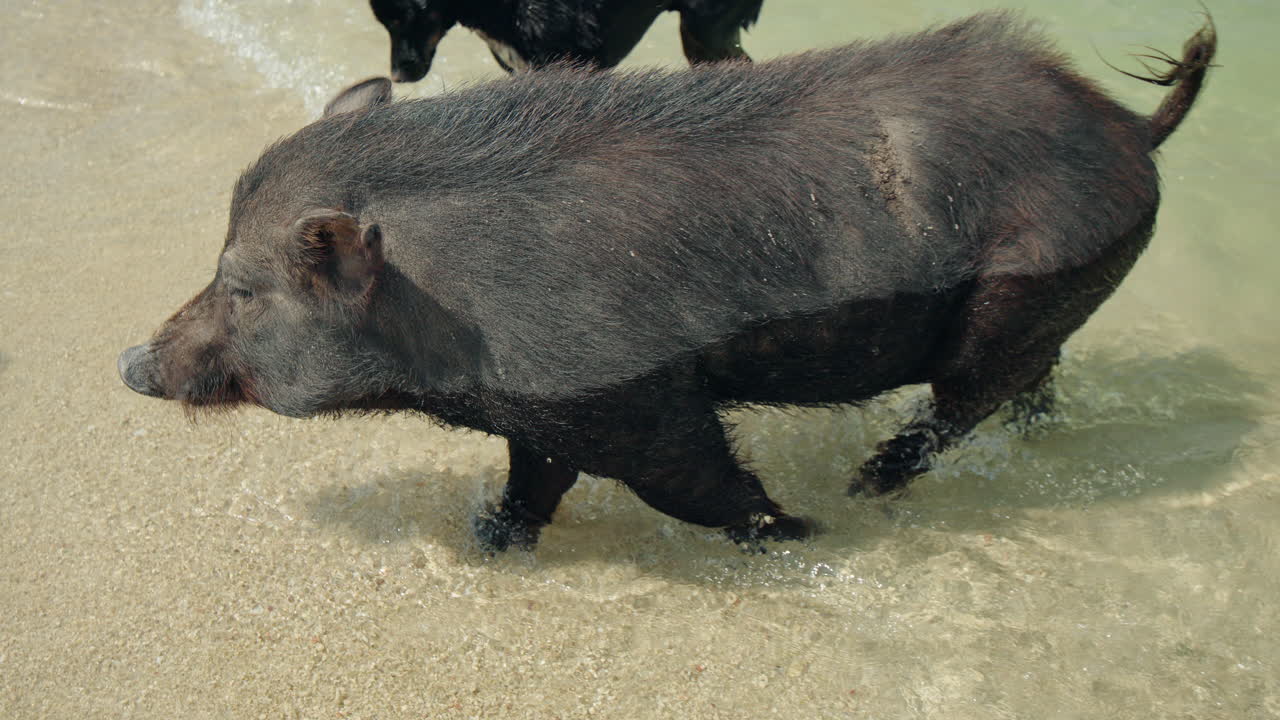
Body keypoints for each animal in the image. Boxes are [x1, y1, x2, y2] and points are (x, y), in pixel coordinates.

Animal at [120, 12, 1216, 551]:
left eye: (242, 289)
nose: (130, 360)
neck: (445, 309)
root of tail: (1131, 131)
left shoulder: (632, 398)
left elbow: (698, 486)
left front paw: (799, 532)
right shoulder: (544, 405)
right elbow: (534, 479)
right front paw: (488, 537)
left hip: (1020, 296)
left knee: (960, 405)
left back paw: (864, 487)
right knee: (1024, 390)